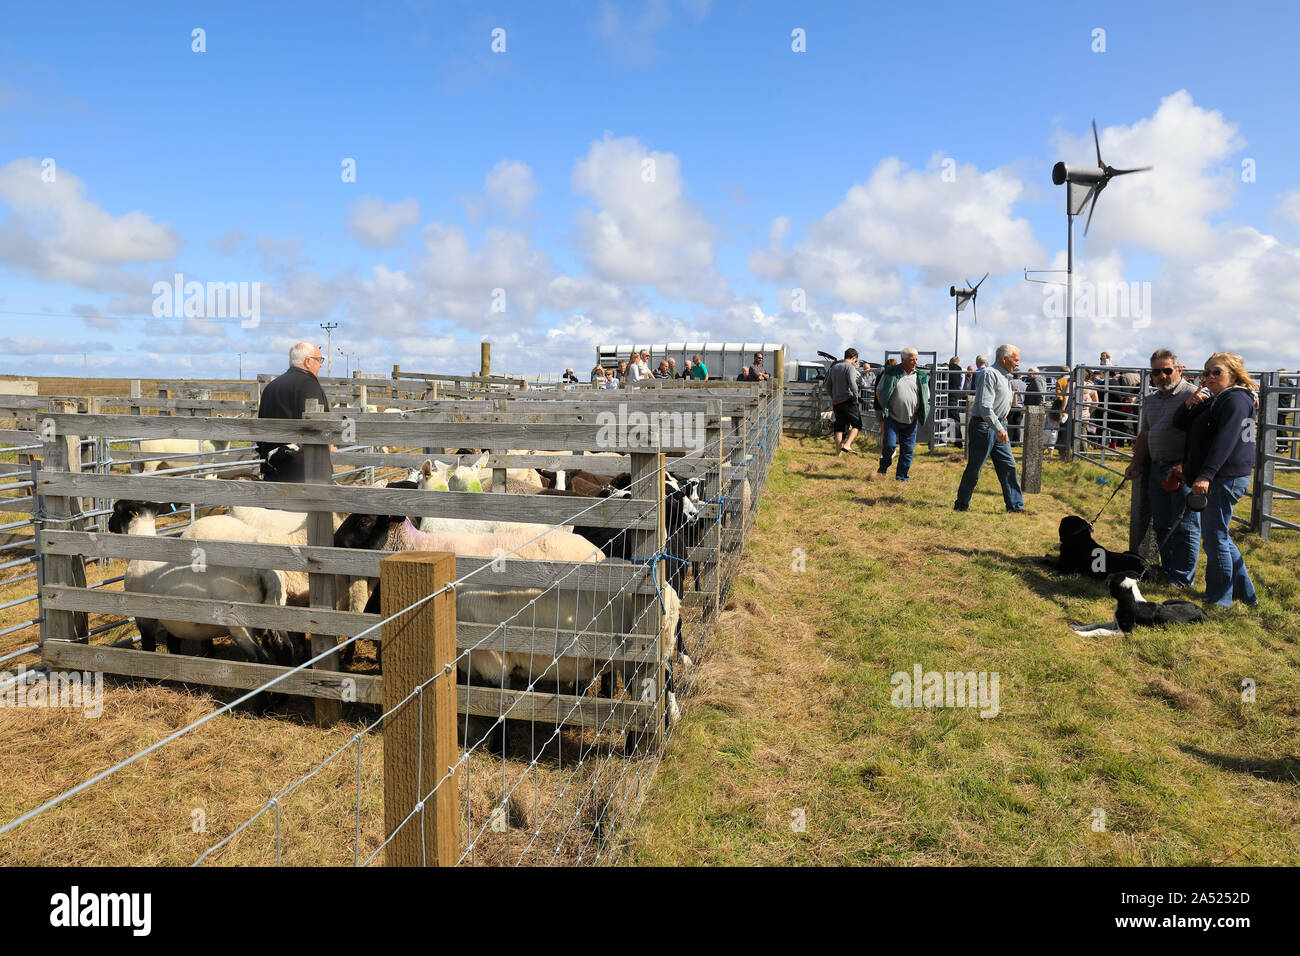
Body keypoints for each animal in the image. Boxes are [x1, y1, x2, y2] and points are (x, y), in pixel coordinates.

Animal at [1066, 574, 1206, 634]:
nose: (1104, 578)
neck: (1131, 600)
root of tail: (1203, 611)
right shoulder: (1116, 623)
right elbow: (1096, 624)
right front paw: (1077, 627)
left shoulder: (1124, 631)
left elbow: (1099, 630)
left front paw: (1080, 634)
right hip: (1168, 601)